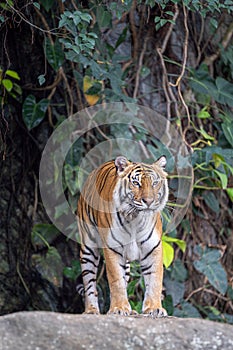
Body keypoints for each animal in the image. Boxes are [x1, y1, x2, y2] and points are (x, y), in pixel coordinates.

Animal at [77, 156, 168, 318]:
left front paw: (155, 308)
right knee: (89, 282)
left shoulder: (153, 248)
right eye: (136, 183)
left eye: (155, 183)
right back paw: (91, 310)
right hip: (88, 248)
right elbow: (116, 281)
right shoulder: (112, 249)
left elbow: (155, 279)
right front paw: (118, 308)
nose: (149, 201)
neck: (135, 219)